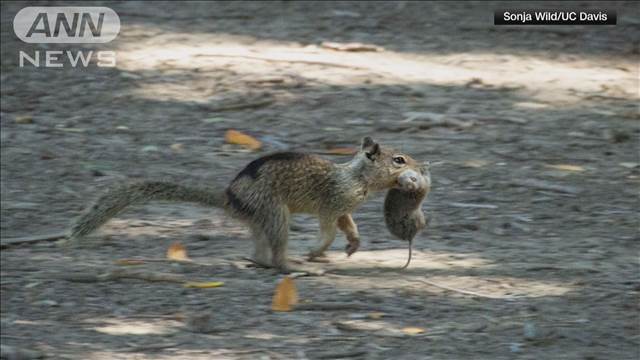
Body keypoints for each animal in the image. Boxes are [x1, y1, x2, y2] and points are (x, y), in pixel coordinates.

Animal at [69, 136, 424, 272]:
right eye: (399, 160)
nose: (421, 168)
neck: (357, 177)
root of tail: (229, 198)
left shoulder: (344, 208)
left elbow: (348, 225)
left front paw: (353, 245)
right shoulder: (331, 203)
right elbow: (328, 230)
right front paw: (317, 250)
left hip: (260, 220)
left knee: (260, 249)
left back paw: (258, 261)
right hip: (275, 213)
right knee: (277, 252)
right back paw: (292, 265)